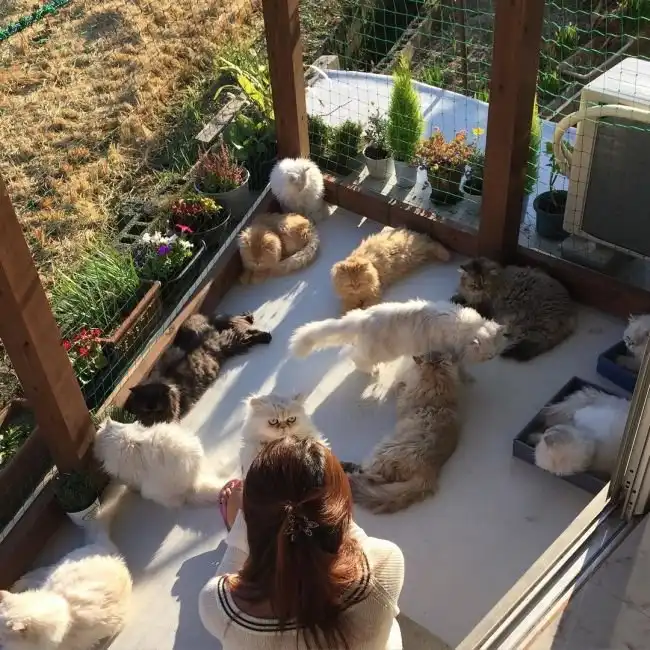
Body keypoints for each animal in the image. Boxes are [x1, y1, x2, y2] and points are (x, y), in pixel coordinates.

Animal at [0, 486, 132, 650]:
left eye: (1, 638)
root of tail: (108, 549)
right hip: (59, 569)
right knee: (40, 573)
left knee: (39, 574)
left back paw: (19, 583)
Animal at [125, 312, 272, 425]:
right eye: (146, 411)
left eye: (158, 411)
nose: (153, 420)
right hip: (229, 341)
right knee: (240, 325)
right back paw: (251, 319)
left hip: (229, 342)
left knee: (244, 332)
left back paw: (265, 335)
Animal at [289, 299, 505, 375]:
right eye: (487, 356)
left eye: (495, 354)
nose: (492, 359)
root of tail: (362, 317)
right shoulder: (443, 348)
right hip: (380, 353)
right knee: (354, 358)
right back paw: (372, 372)